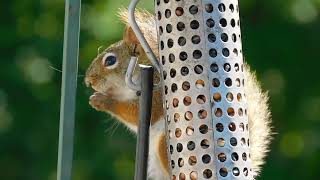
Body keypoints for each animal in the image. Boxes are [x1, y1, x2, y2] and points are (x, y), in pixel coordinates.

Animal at [85, 8, 272, 180]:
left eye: (110, 60)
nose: (88, 81)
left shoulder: (157, 95)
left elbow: (137, 113)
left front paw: (103, 101)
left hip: (170, 145)